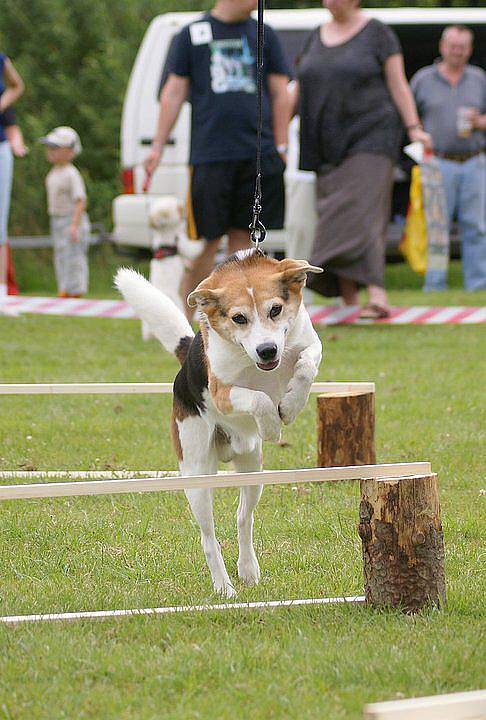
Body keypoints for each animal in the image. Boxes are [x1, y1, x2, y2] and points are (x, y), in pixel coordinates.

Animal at [116, 250, 322, 600]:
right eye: (239, 318)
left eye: (275, 310)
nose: (267, 350)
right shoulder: (222, 391)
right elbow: (259, 399)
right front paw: (272, 426)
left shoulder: (308, 343)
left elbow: (306, 364)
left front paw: (291, 404)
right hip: (197, 475)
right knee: (209, 538)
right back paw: (224, 587)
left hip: (253, 472)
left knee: (243, 518)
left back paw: (248, 569)